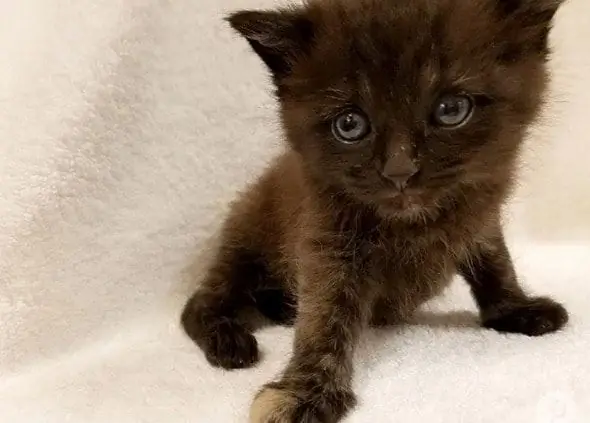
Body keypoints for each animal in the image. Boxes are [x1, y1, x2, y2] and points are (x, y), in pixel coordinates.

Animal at [184, 0, 568, 423]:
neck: (414, 225)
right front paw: (305, 391)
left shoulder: (480, 215)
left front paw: (515, 308)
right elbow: (325, 313)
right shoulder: (326, 238)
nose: (399, 171)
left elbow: (495, 262)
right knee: (201, 301)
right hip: (244, 238)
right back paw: (229, 339)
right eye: (349, 124)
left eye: (451, 109)